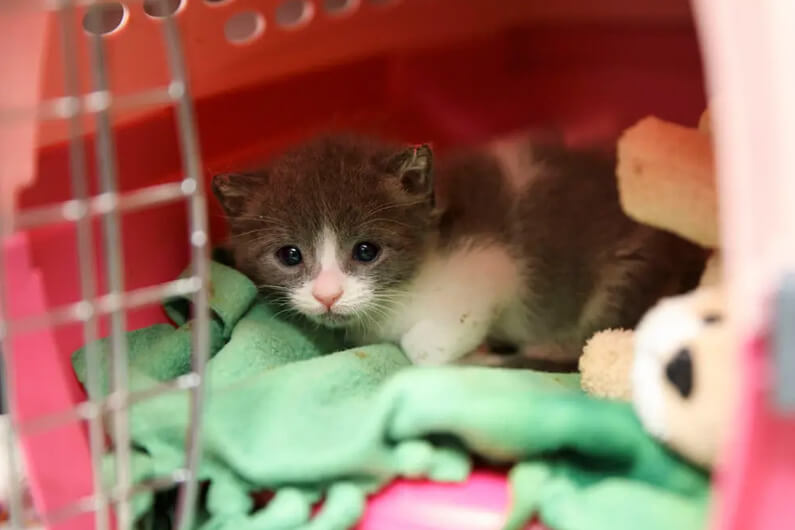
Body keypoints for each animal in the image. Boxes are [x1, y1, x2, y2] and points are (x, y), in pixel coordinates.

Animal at [211, 132, 708, 366]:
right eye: (290, 255)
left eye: (366, 251)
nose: (327, 295)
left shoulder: (493, 267)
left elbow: (423, 345)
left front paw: (476, 353)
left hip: (625, 277)